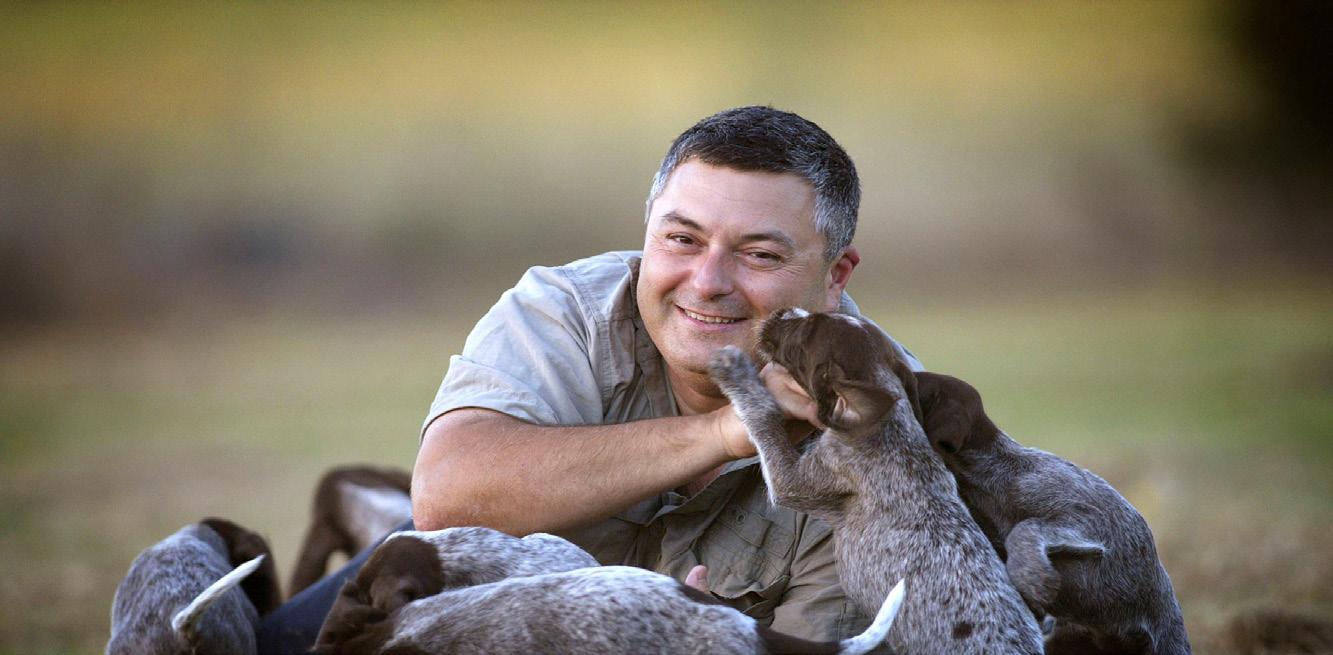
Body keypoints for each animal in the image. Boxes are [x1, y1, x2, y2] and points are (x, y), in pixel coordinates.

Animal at [708, 308, 1043, 654]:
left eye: (806, 329)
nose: (782, 311)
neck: (889, 425)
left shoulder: (792, 480)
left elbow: (764, 416)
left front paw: (735, 372)